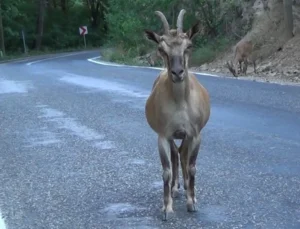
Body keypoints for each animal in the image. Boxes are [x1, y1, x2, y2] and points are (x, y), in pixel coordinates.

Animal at [144, 8, 210, 220]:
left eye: (188, 45)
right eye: (161, 48)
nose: (178, 72)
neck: (181, 103)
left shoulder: (195, 134)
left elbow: (192, 166)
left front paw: (192, 202)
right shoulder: (164, 134)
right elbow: (166, 171)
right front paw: (167, 208)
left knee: (182, 155)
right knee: (176, 155)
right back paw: (174, 188)